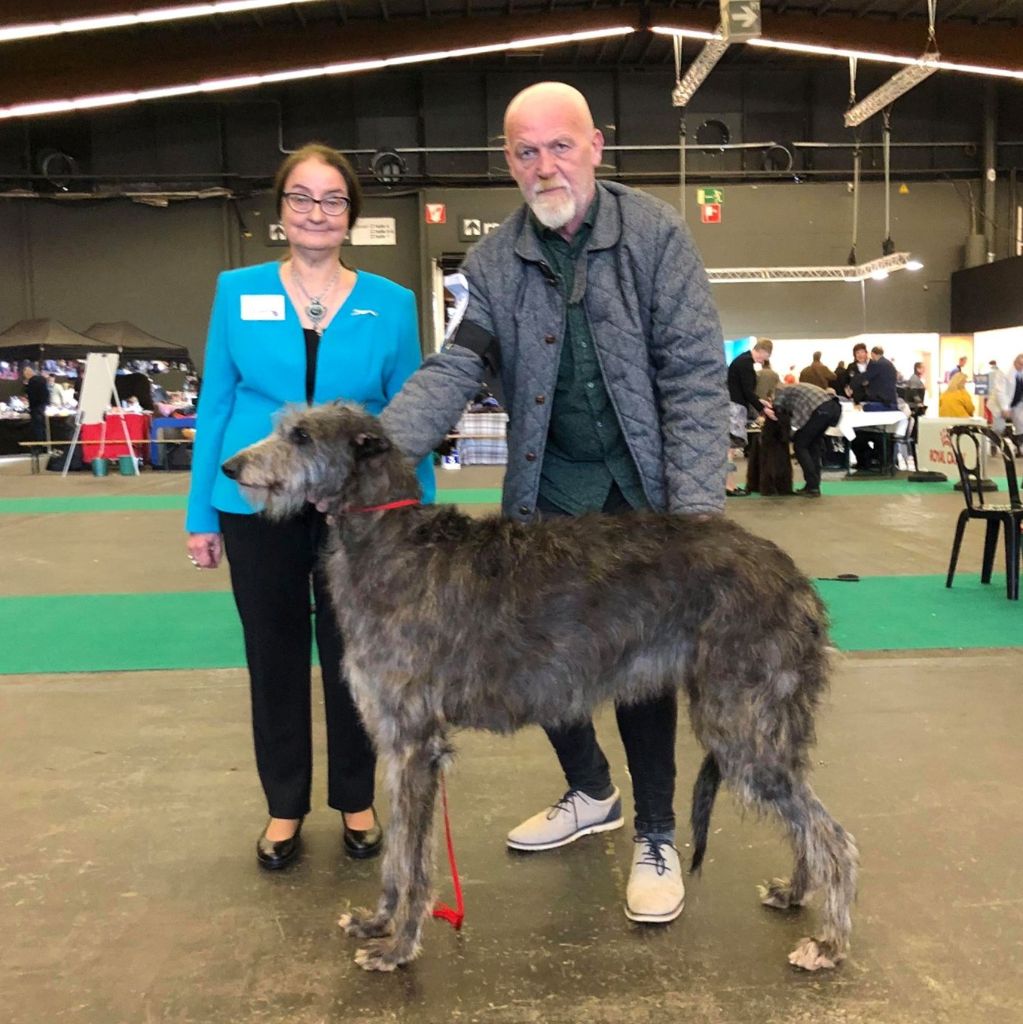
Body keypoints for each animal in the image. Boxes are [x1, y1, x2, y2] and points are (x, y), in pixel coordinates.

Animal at [222, 401, 856, 974]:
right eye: (283, 428)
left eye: (302, 436)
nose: (229, 467)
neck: (390, 541)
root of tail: (795, 578)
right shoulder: (397, 741)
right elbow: (398, 852)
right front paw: (379, 922)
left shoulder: (416, 744)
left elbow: (412, 858)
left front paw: (399, 947)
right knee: (805, 816)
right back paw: (796, 892)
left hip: (741, 721)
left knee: (833, 836)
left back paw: (828, 942)